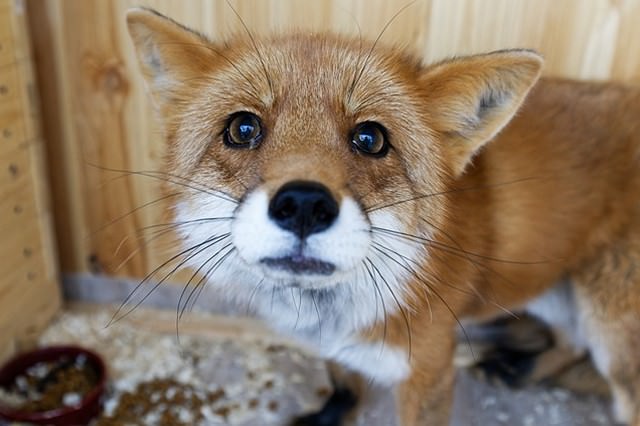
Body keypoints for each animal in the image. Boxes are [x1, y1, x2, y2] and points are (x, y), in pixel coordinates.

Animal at [125, 6, 640, 426]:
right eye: (243, 128)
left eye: (371, 139)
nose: (305, 204)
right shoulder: (333, 346)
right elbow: (342, 379)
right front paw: (332, 415)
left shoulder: (429, 370)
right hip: (557, 294)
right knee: (570, 341)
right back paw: (521, 370)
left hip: (612, 335)